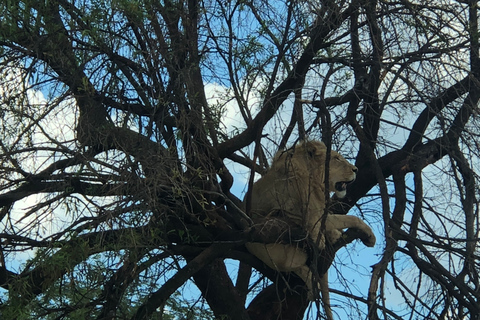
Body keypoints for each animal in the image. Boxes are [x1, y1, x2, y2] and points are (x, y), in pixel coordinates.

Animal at [246, 141, 376, 318]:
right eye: (336, 158)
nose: (355, 169)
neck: (315, 179)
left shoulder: (319, 212)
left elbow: (339, 220)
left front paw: (336, 235)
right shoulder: (309, 216)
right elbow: (351, 218)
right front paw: (370, 236)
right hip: (278, 253)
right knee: (299, 267)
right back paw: (313, 284)